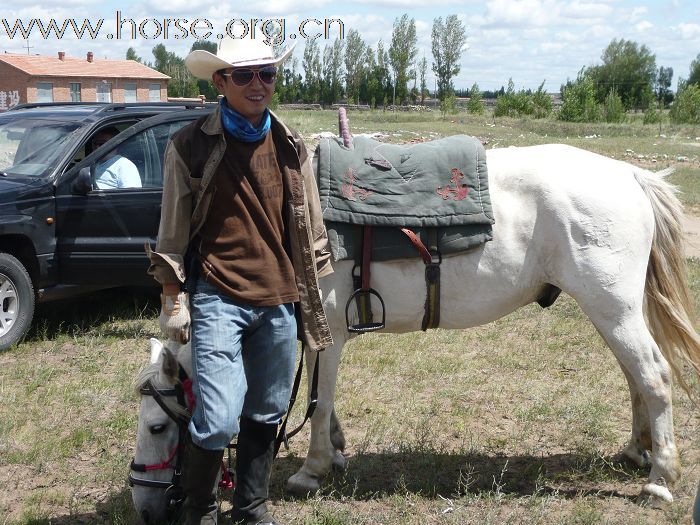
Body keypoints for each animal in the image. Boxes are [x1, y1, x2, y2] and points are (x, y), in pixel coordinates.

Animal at [131, 143, 700, 520]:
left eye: (157, 427)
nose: (144, 503)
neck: (288, 234)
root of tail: (630, 176)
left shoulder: (327, 335)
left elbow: (319, 401)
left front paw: (313, 469)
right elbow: (325, 401)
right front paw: (337, 450)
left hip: (612, 308)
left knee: (653, 376)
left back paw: (660, 478)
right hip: (613, 311)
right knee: (635, 376)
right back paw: (637, 451)